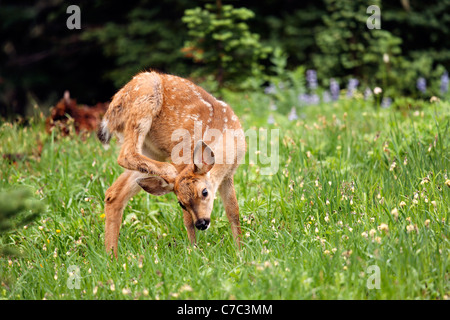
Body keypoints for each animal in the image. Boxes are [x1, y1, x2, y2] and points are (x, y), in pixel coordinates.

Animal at [97, 70, 246, 258]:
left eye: (204, 192)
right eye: (181, 203)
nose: (202, 223)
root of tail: (109, 116)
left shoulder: (228, 176)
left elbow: (233, 212)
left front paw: (240, 251)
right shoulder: (181, 160)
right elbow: (187, 221)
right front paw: (195, 252)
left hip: (151, 151)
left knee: (113, 193)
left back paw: (112, 257)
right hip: (145, 98)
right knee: (126, 155)